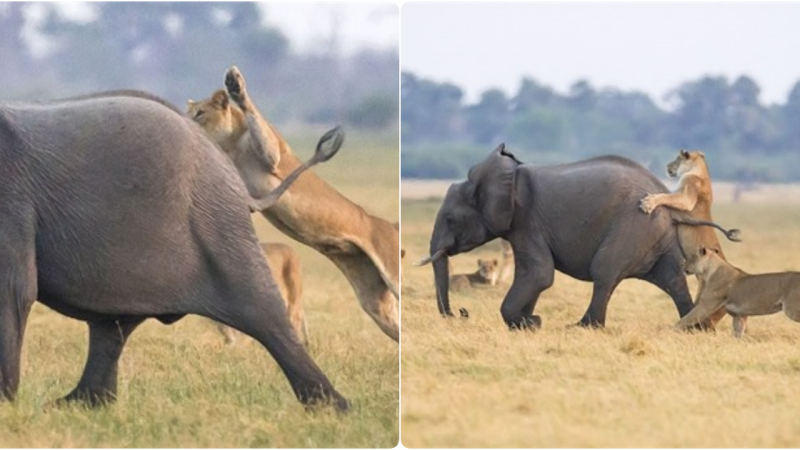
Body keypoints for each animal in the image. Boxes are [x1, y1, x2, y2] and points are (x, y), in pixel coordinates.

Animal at [0, 89, 346, 410]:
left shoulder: (13, 202)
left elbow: (15, 290)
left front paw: (7, 408)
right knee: (113, 325)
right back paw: (77, 404)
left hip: (218, 223)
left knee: (262, 311)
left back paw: (331, 408)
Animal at [422, 145, 740, 330]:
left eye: (450, 220)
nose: (462, 312)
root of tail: (667, 198)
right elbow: (534, 276)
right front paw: (529, 322)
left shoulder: (526, 222)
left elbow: (539, 274)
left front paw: (531, 323)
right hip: (653, 235)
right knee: (672, 279)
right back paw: (696, 328)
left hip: (633, 227)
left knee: (604, 272)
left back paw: (583, 326)